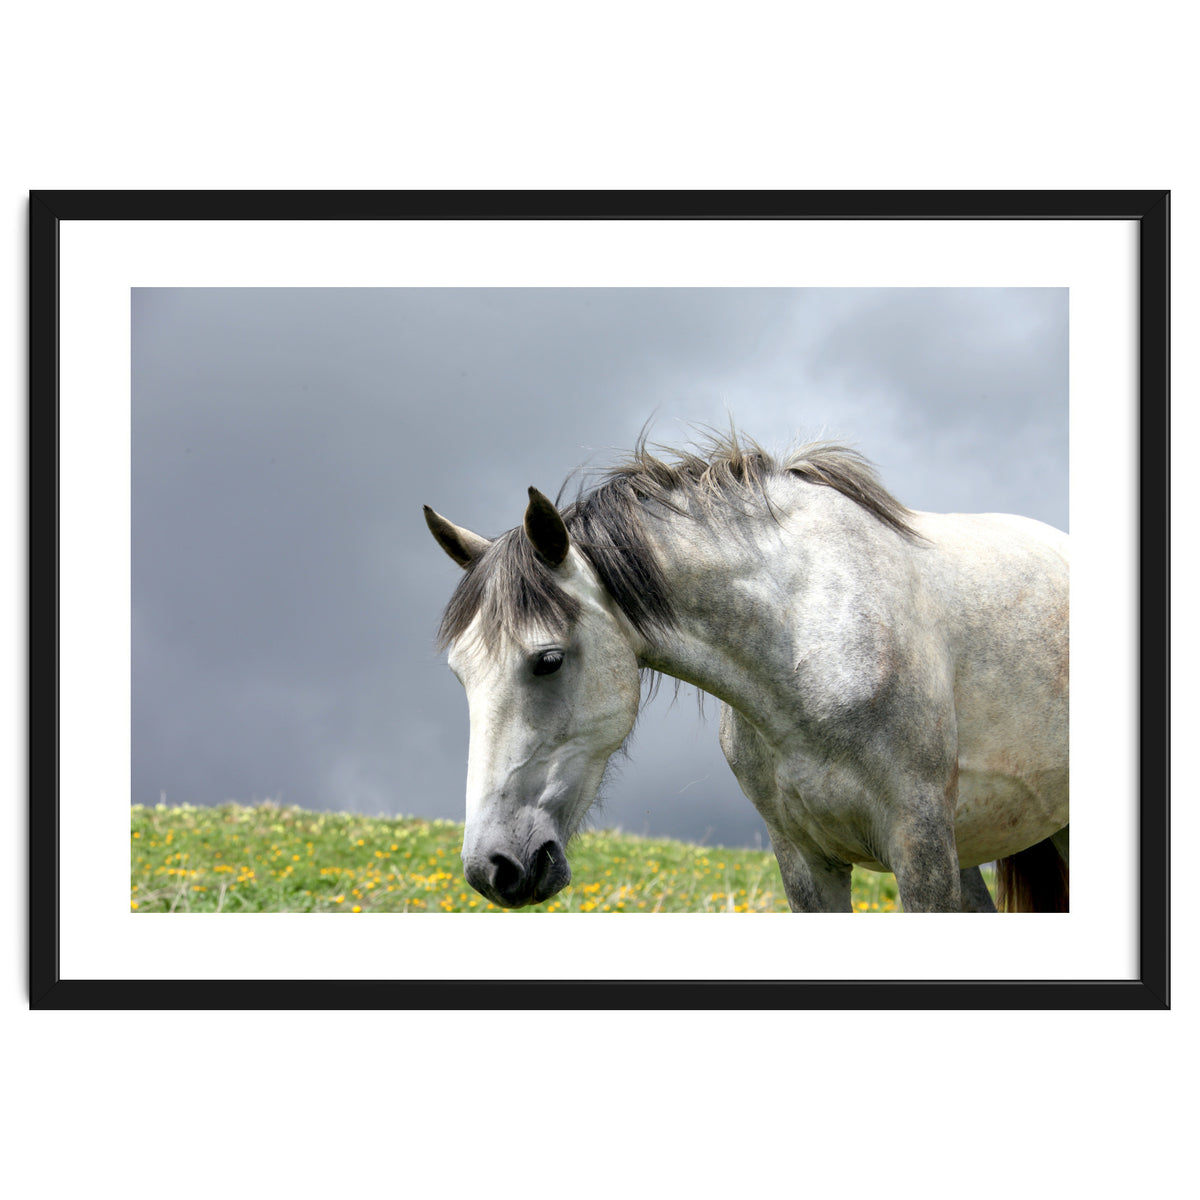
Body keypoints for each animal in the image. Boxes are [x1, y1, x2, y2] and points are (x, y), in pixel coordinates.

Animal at [424, 431, 1069, 913]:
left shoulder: (921, 846)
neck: (808, 644)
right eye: (459, 675)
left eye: (548, 660)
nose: (493, 868)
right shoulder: (805, 861)